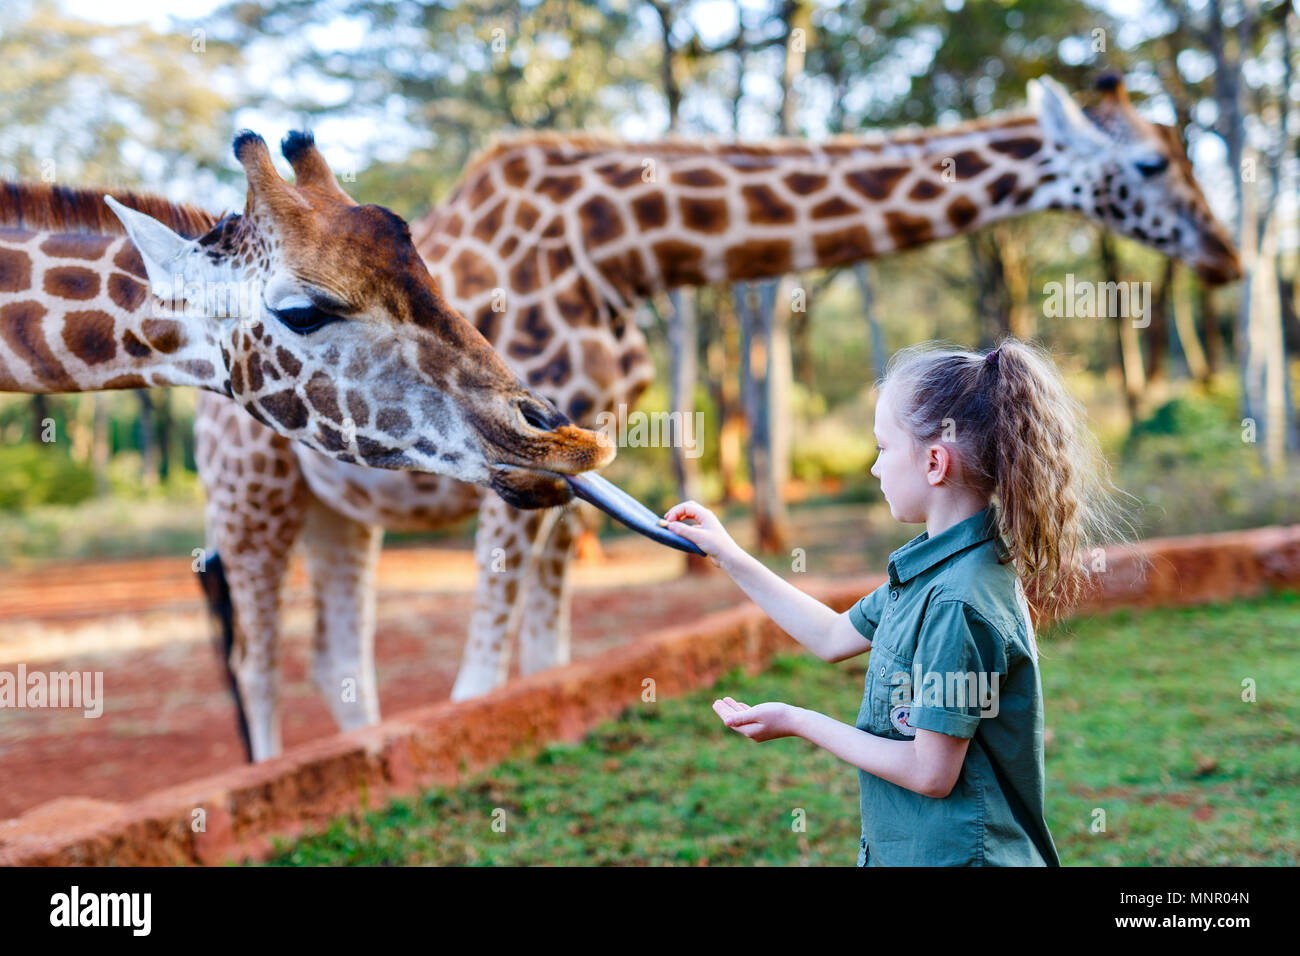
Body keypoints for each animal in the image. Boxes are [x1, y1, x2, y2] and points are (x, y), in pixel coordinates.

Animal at [192, 76, 1237, 764]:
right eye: (1151, 159)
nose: (1226, 253)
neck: (626, 244)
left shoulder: (563, 462)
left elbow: (545, 658)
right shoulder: (516, 461)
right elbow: (484, 676)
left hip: (338, 509)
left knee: (336, 654)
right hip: (250, 487)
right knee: (253, 657)